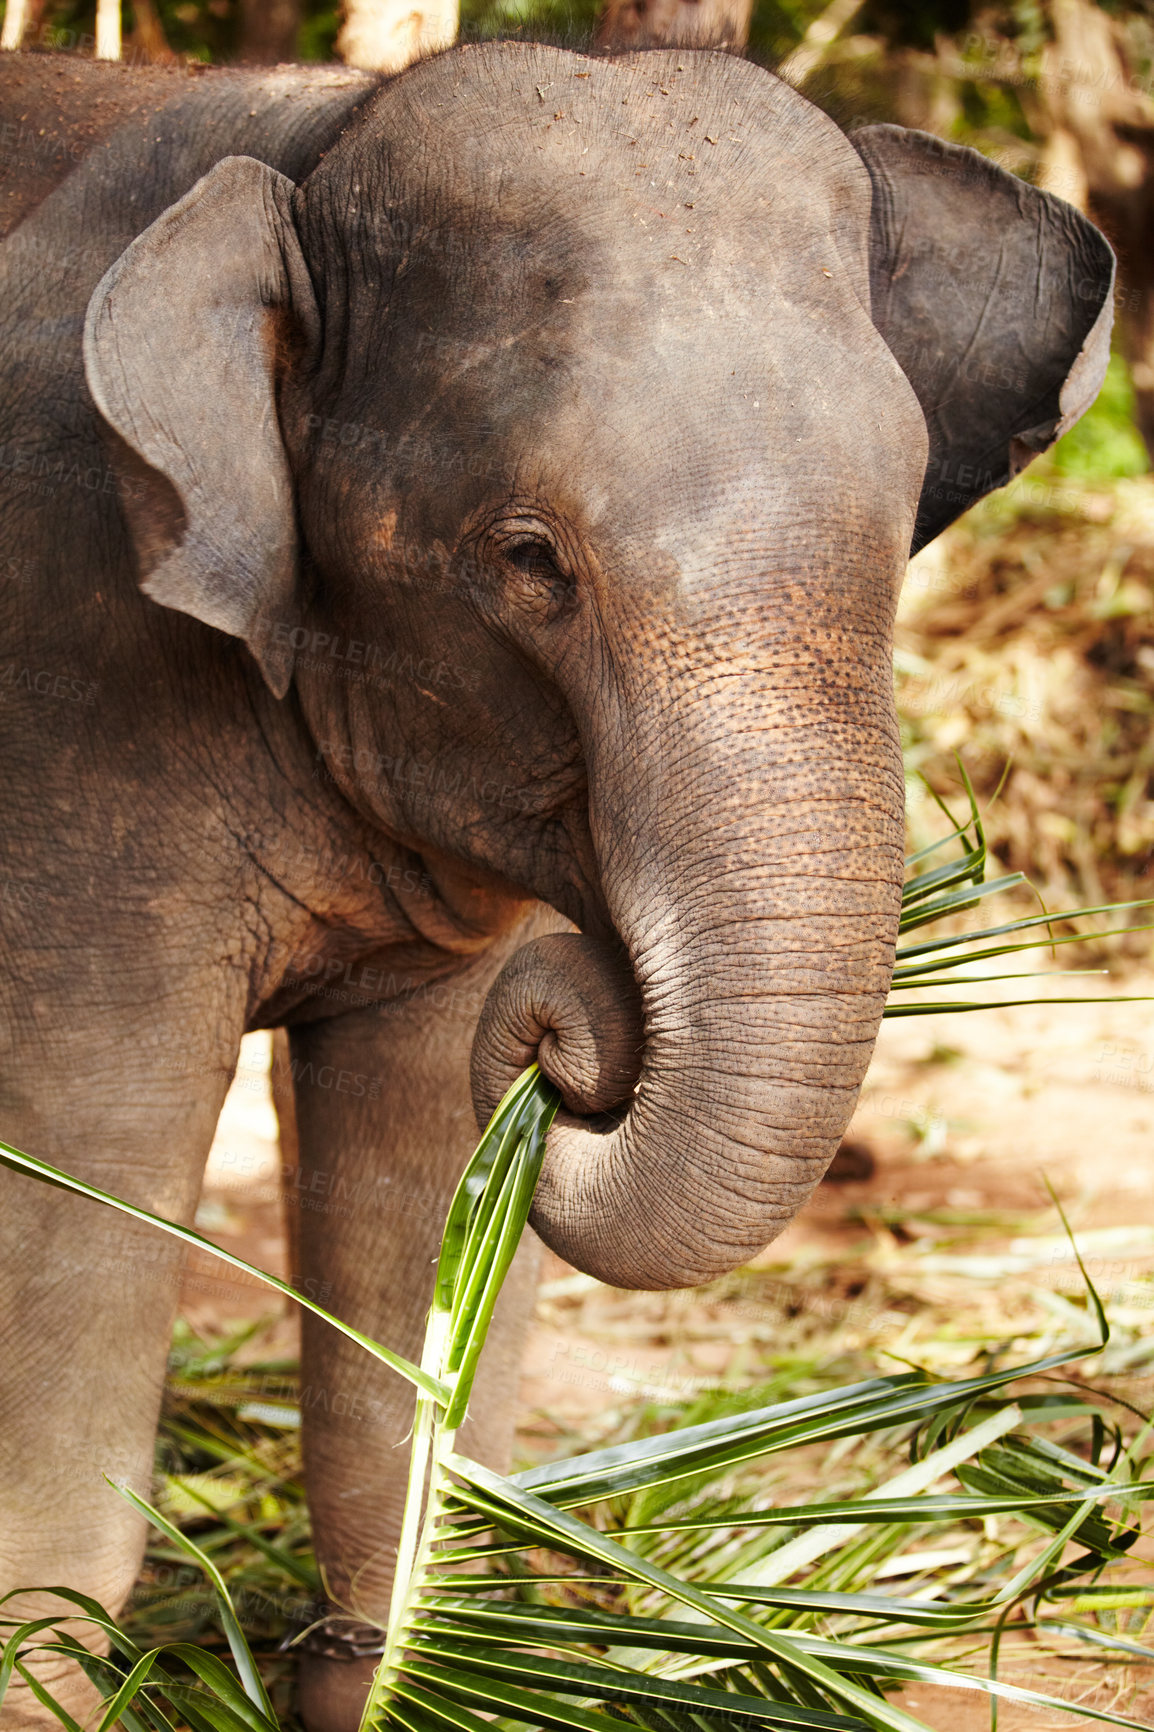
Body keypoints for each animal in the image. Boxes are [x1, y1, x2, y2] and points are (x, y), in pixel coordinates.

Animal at [0, 37, 1108, 1732]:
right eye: (530, 560)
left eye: (901, 521)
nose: (583, 1032)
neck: (307, 136)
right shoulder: (68, 697)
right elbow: (87, 1164)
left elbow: (417, 1166)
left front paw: (392, 1655)